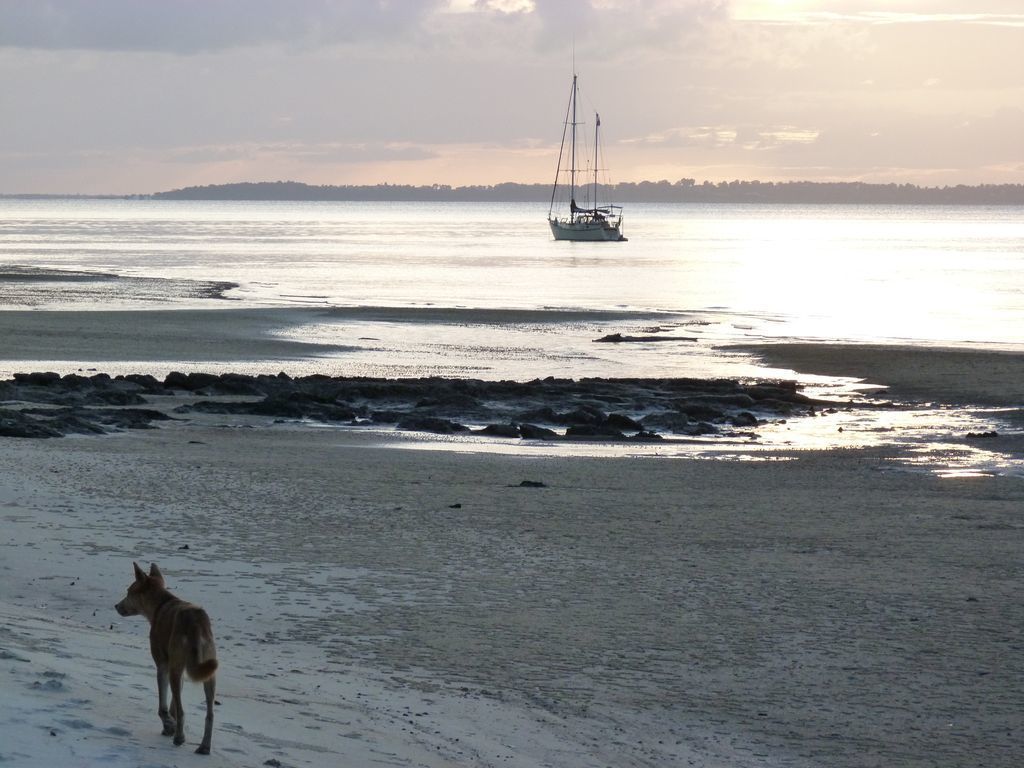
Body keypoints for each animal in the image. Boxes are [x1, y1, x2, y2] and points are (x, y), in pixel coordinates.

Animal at [116, 561, 218, 753]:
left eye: (128, 592)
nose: (116, 606)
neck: (161, 603)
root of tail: (196, 624)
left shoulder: (163, 665)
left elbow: (163, 707)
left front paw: (169, 726)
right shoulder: (180, 669)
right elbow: (173, 706)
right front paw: (171, 724)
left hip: (176, 669)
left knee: (183, 710)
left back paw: (179, 738)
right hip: (208, 672)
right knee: (209, 714)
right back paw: (204, 746)